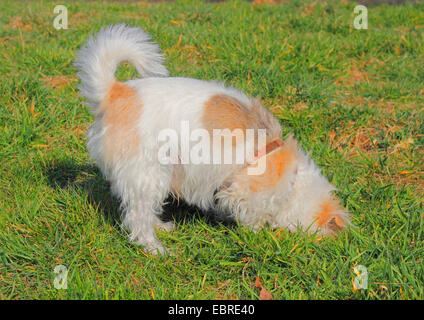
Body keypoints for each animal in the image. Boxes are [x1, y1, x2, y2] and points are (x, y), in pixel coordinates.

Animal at [73, 24, 352, 255]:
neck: (294, 182)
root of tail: (116, 92)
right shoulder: (242, 190)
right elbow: (253, 214)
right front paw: (257, 232)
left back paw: (161, 226)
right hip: (148, 174)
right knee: (137, 217)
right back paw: (155, 248)